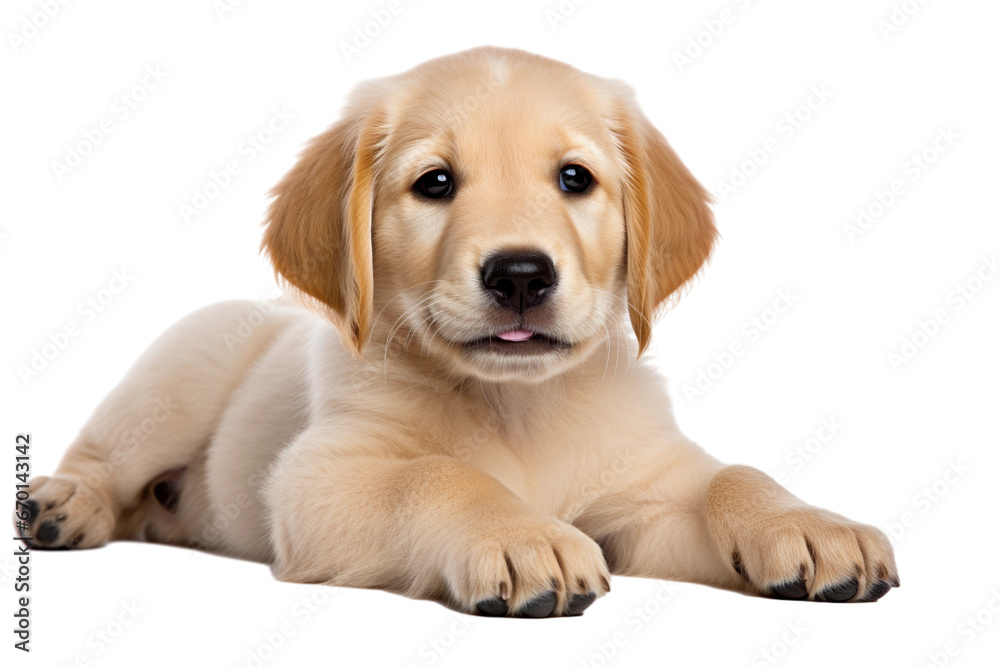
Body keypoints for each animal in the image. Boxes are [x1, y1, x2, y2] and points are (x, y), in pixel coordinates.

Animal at [17, 48, 900, 620]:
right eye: (434, 183)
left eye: (575, 178)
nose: (520, 275)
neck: (517, 406)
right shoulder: (314, 480)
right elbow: (436, 473)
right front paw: (519, 534)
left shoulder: (641, 499)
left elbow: (731, 477)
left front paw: (810, 526)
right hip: (179, 372)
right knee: (105, 457)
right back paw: (60, 506)